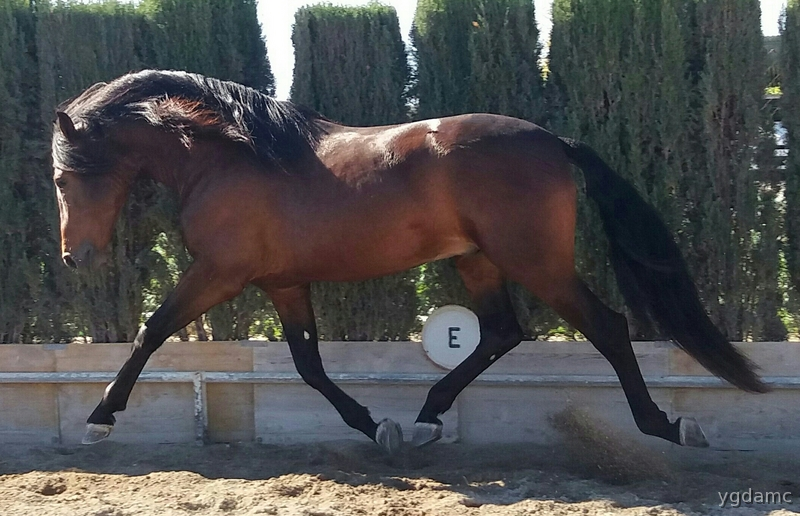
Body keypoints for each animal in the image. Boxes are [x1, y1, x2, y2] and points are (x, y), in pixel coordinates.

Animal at [51, 70, 768, 453]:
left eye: (64, 178)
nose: (73, 257)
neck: (228, 156)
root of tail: (553, 142)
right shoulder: (283, 282)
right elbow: (309, 366)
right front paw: (376, 427)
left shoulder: (220, 274)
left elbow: (151, 331)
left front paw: (99, 420)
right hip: (478, 260)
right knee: (502, 333)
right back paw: (426, 418)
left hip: (536, 263)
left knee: (608, 328)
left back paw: (666, 426)